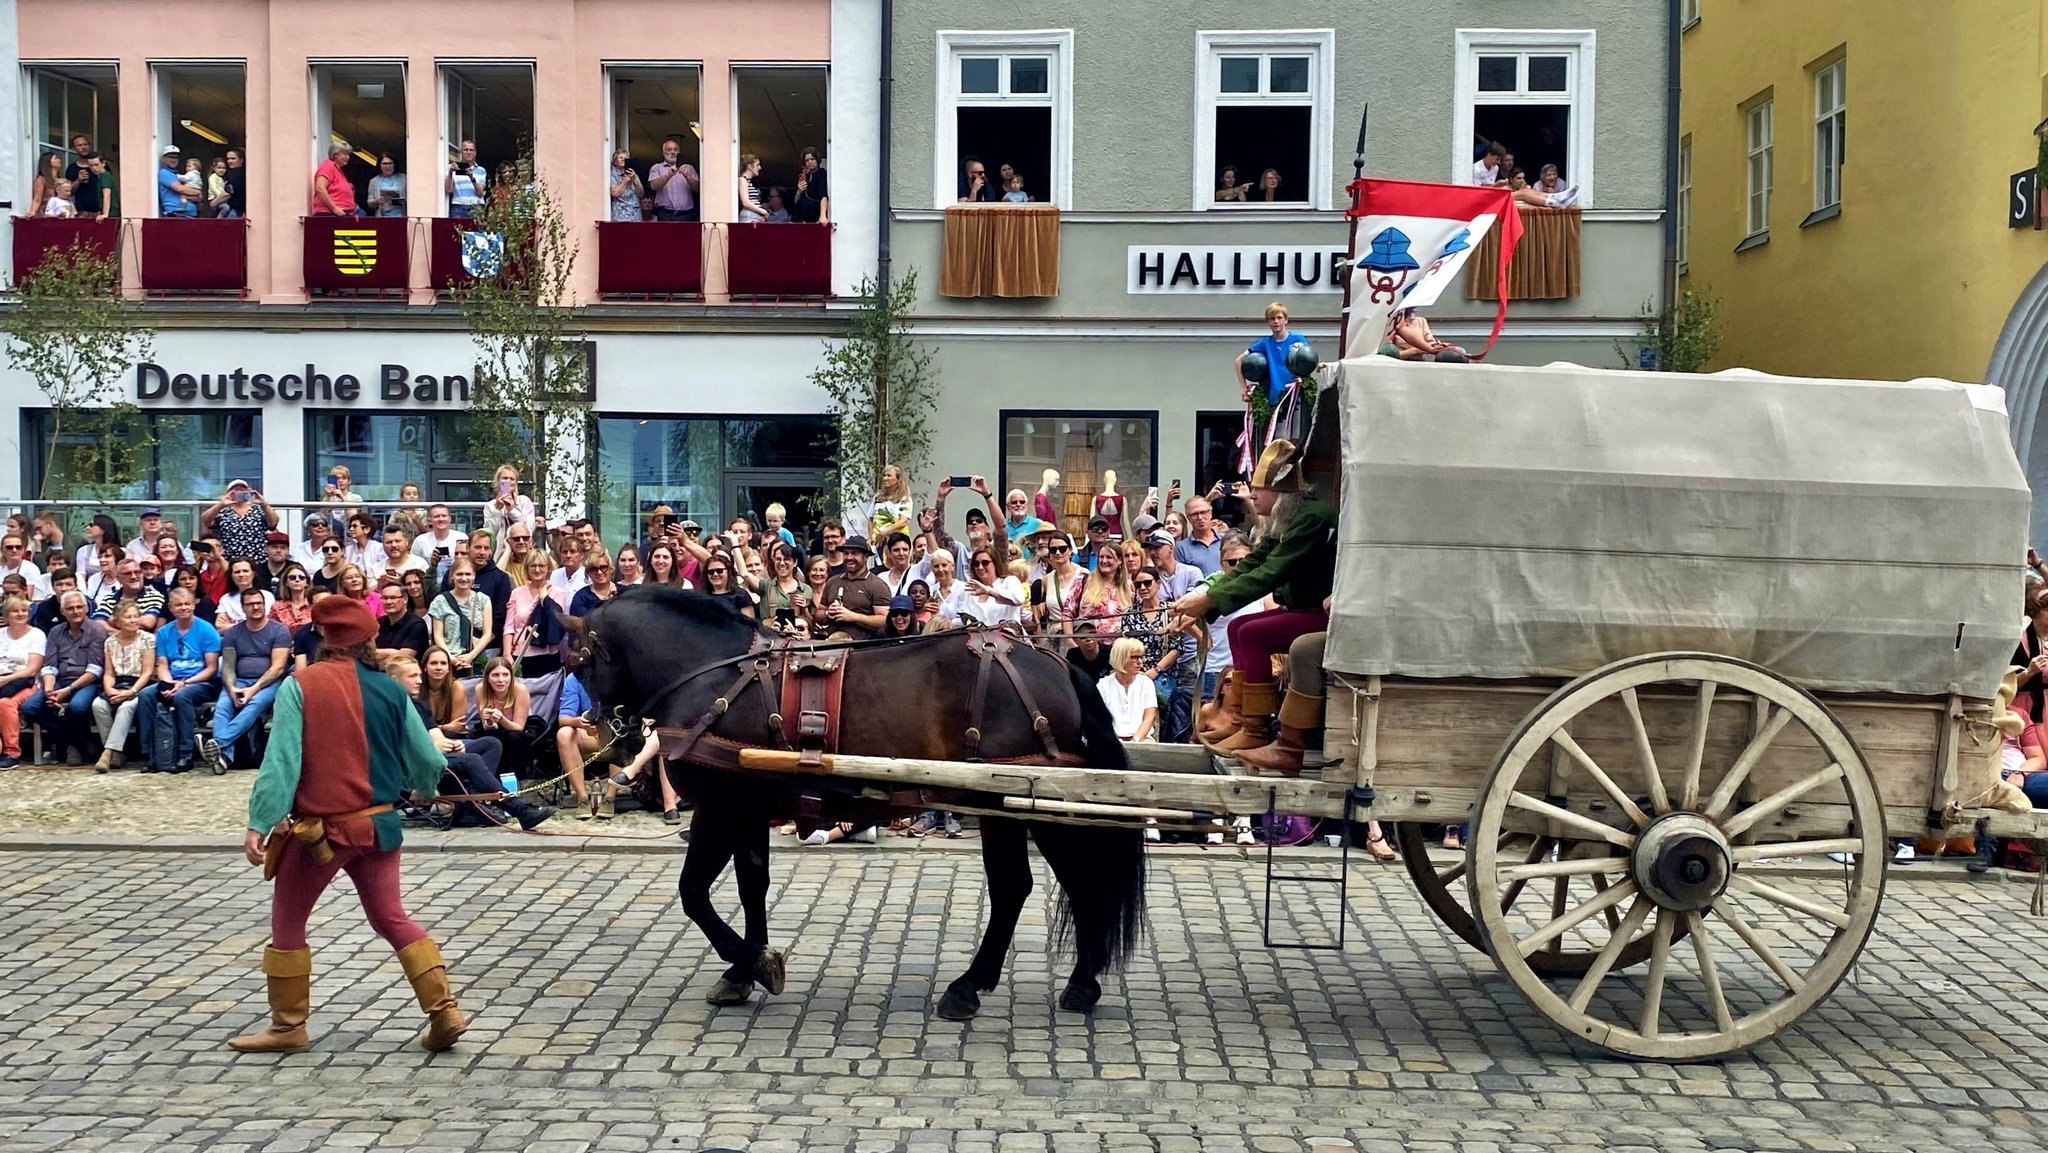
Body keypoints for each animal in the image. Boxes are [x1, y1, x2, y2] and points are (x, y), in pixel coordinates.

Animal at [577, 585, 1146, 1019]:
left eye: (579, 660)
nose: (606, 735)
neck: (712, 675)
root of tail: (1057, 665)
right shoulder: (749, 808)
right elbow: (752, 886)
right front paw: (743, 970)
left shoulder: (720, 809)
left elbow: (693, 892)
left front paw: (755, 963)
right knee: (1053, 883)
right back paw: (1057, 981)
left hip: (1015, 803)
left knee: (1034, 885)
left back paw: (996, 985)